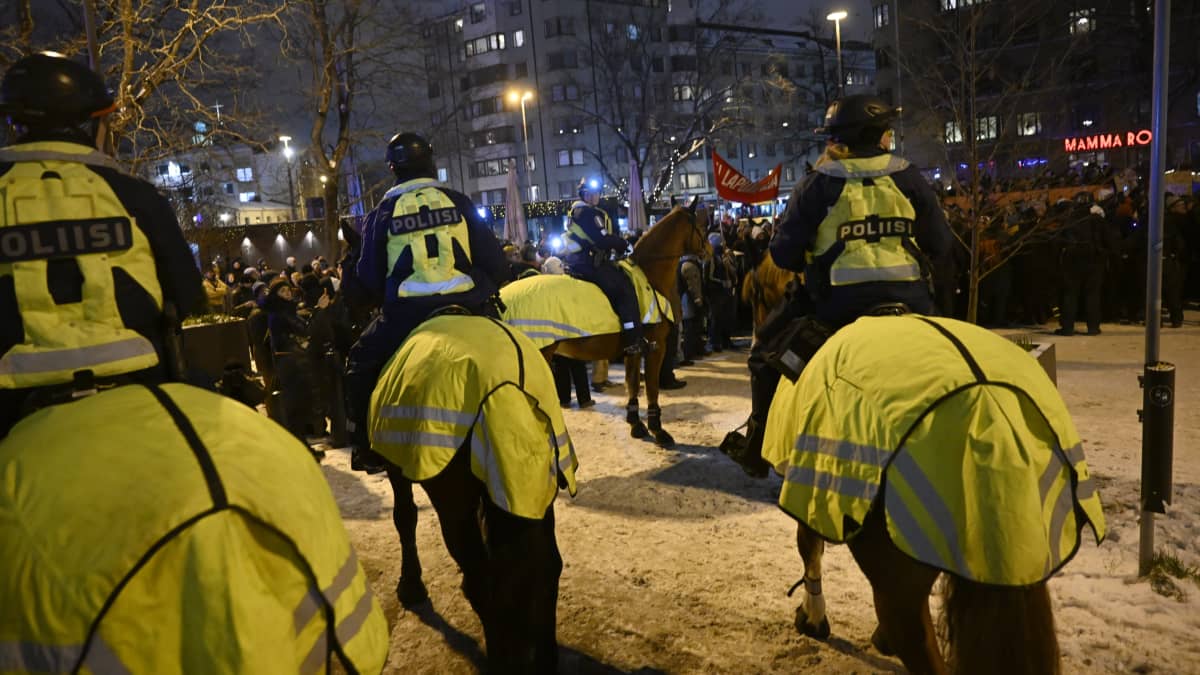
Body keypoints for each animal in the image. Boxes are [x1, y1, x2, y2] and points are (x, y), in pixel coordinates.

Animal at [372, 312, 573, 667]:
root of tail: (507, 387)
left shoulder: (396, 464)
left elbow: (404, 516)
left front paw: (410, 585)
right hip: (535, 488)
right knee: (545, 566)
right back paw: (544, 656)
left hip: (453, 499)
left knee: (482, 583)